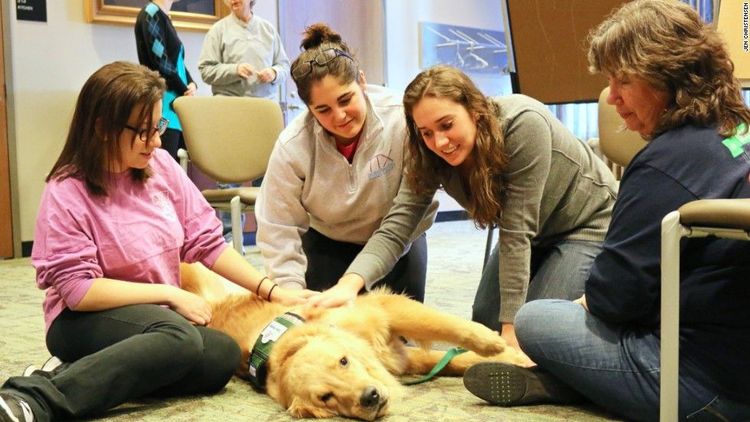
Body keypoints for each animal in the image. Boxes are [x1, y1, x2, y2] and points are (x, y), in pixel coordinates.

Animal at [179, 262, 524, 420]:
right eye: (326, 397)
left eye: (343, 361)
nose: (370, 397)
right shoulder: (398, 356)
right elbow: (453, 360)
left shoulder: (383, 310)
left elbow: (448, 329)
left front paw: (499, 345)